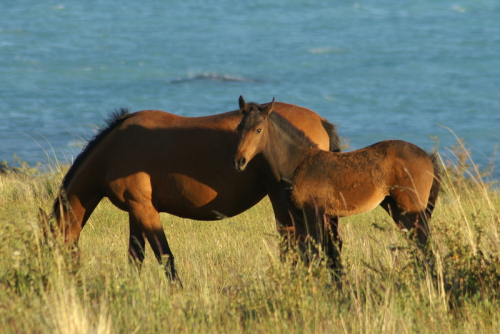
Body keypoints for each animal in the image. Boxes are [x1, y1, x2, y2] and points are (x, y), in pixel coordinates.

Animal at [51, 101, 340, 282]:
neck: (115, 149)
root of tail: (320, 121)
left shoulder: (145, 209)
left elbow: (165, 257)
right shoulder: (135, 210)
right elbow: (136, 257)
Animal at [232, 96, 440, 272]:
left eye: (258, 129)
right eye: (238, 129)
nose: (239, 161)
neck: (297, 163)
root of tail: (426, 156)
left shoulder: (314, 213)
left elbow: (315, 255)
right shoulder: (298, 218)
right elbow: (305, 255)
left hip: (413, 208)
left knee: (426, 245)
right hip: (396, 209)